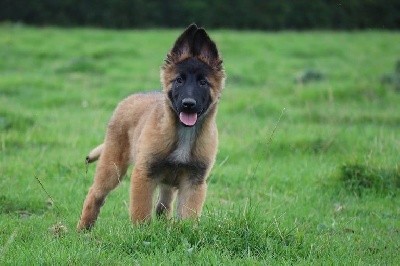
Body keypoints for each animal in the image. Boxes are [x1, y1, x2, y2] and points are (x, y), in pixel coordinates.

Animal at [76, 23, 223, 230]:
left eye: (203, 82)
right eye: (179, 80)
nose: (188, 104)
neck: (183, 133)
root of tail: (129, 98)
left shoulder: (194, 182)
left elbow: (187, 216)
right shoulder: (144, 174)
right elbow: (141, 213)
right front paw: (141, 233)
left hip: (168, 182)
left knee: (163, 206)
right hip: (112, 167)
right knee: (95, 194)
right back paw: (83, 229)